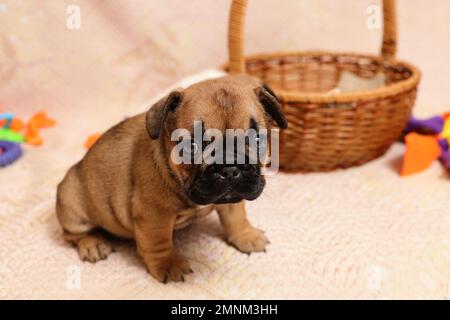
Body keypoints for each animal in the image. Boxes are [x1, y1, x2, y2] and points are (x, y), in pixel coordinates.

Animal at [56, 75, 286, 282]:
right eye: (191, 146)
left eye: (257, 140)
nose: (229, 168)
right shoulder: (153, 214)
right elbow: (158, 241)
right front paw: (167, 264)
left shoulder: (231, 198)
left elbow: (236, 216)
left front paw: (246, 235)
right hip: (73, 206)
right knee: (71, 234)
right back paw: (92, 244)